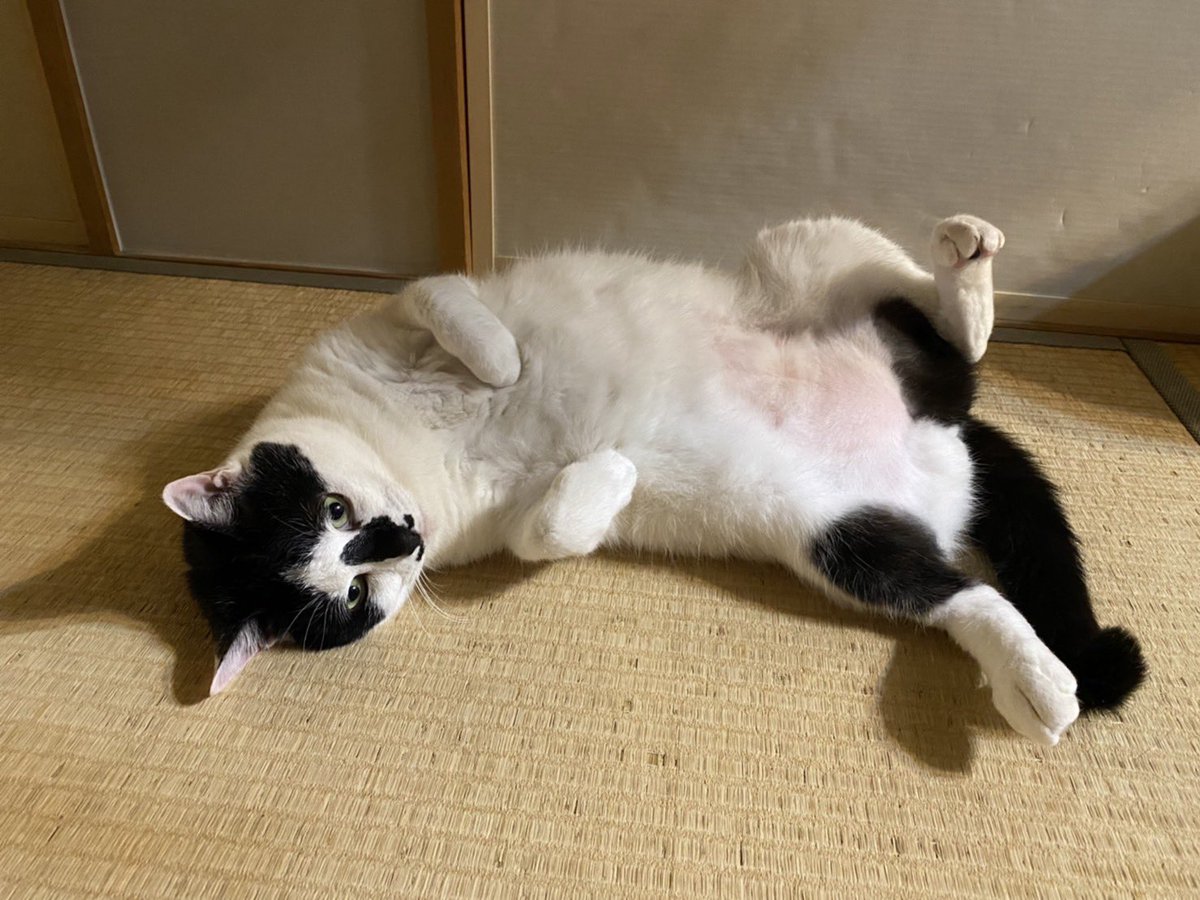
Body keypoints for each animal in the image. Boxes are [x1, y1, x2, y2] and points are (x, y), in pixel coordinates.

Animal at [163, 214, 1146, 746]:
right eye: (356, 593)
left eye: (336, 511)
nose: (402, 539)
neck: (411, 454)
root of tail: (938, 431)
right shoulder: (500, 526)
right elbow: (548, 531)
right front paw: (614, 469)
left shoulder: (401, 309)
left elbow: (453, 310)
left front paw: (503, 366)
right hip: (846, 546)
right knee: (966, 595)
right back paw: (1036, 681)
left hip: (807, 254)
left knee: (950, 334)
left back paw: (967, 264)